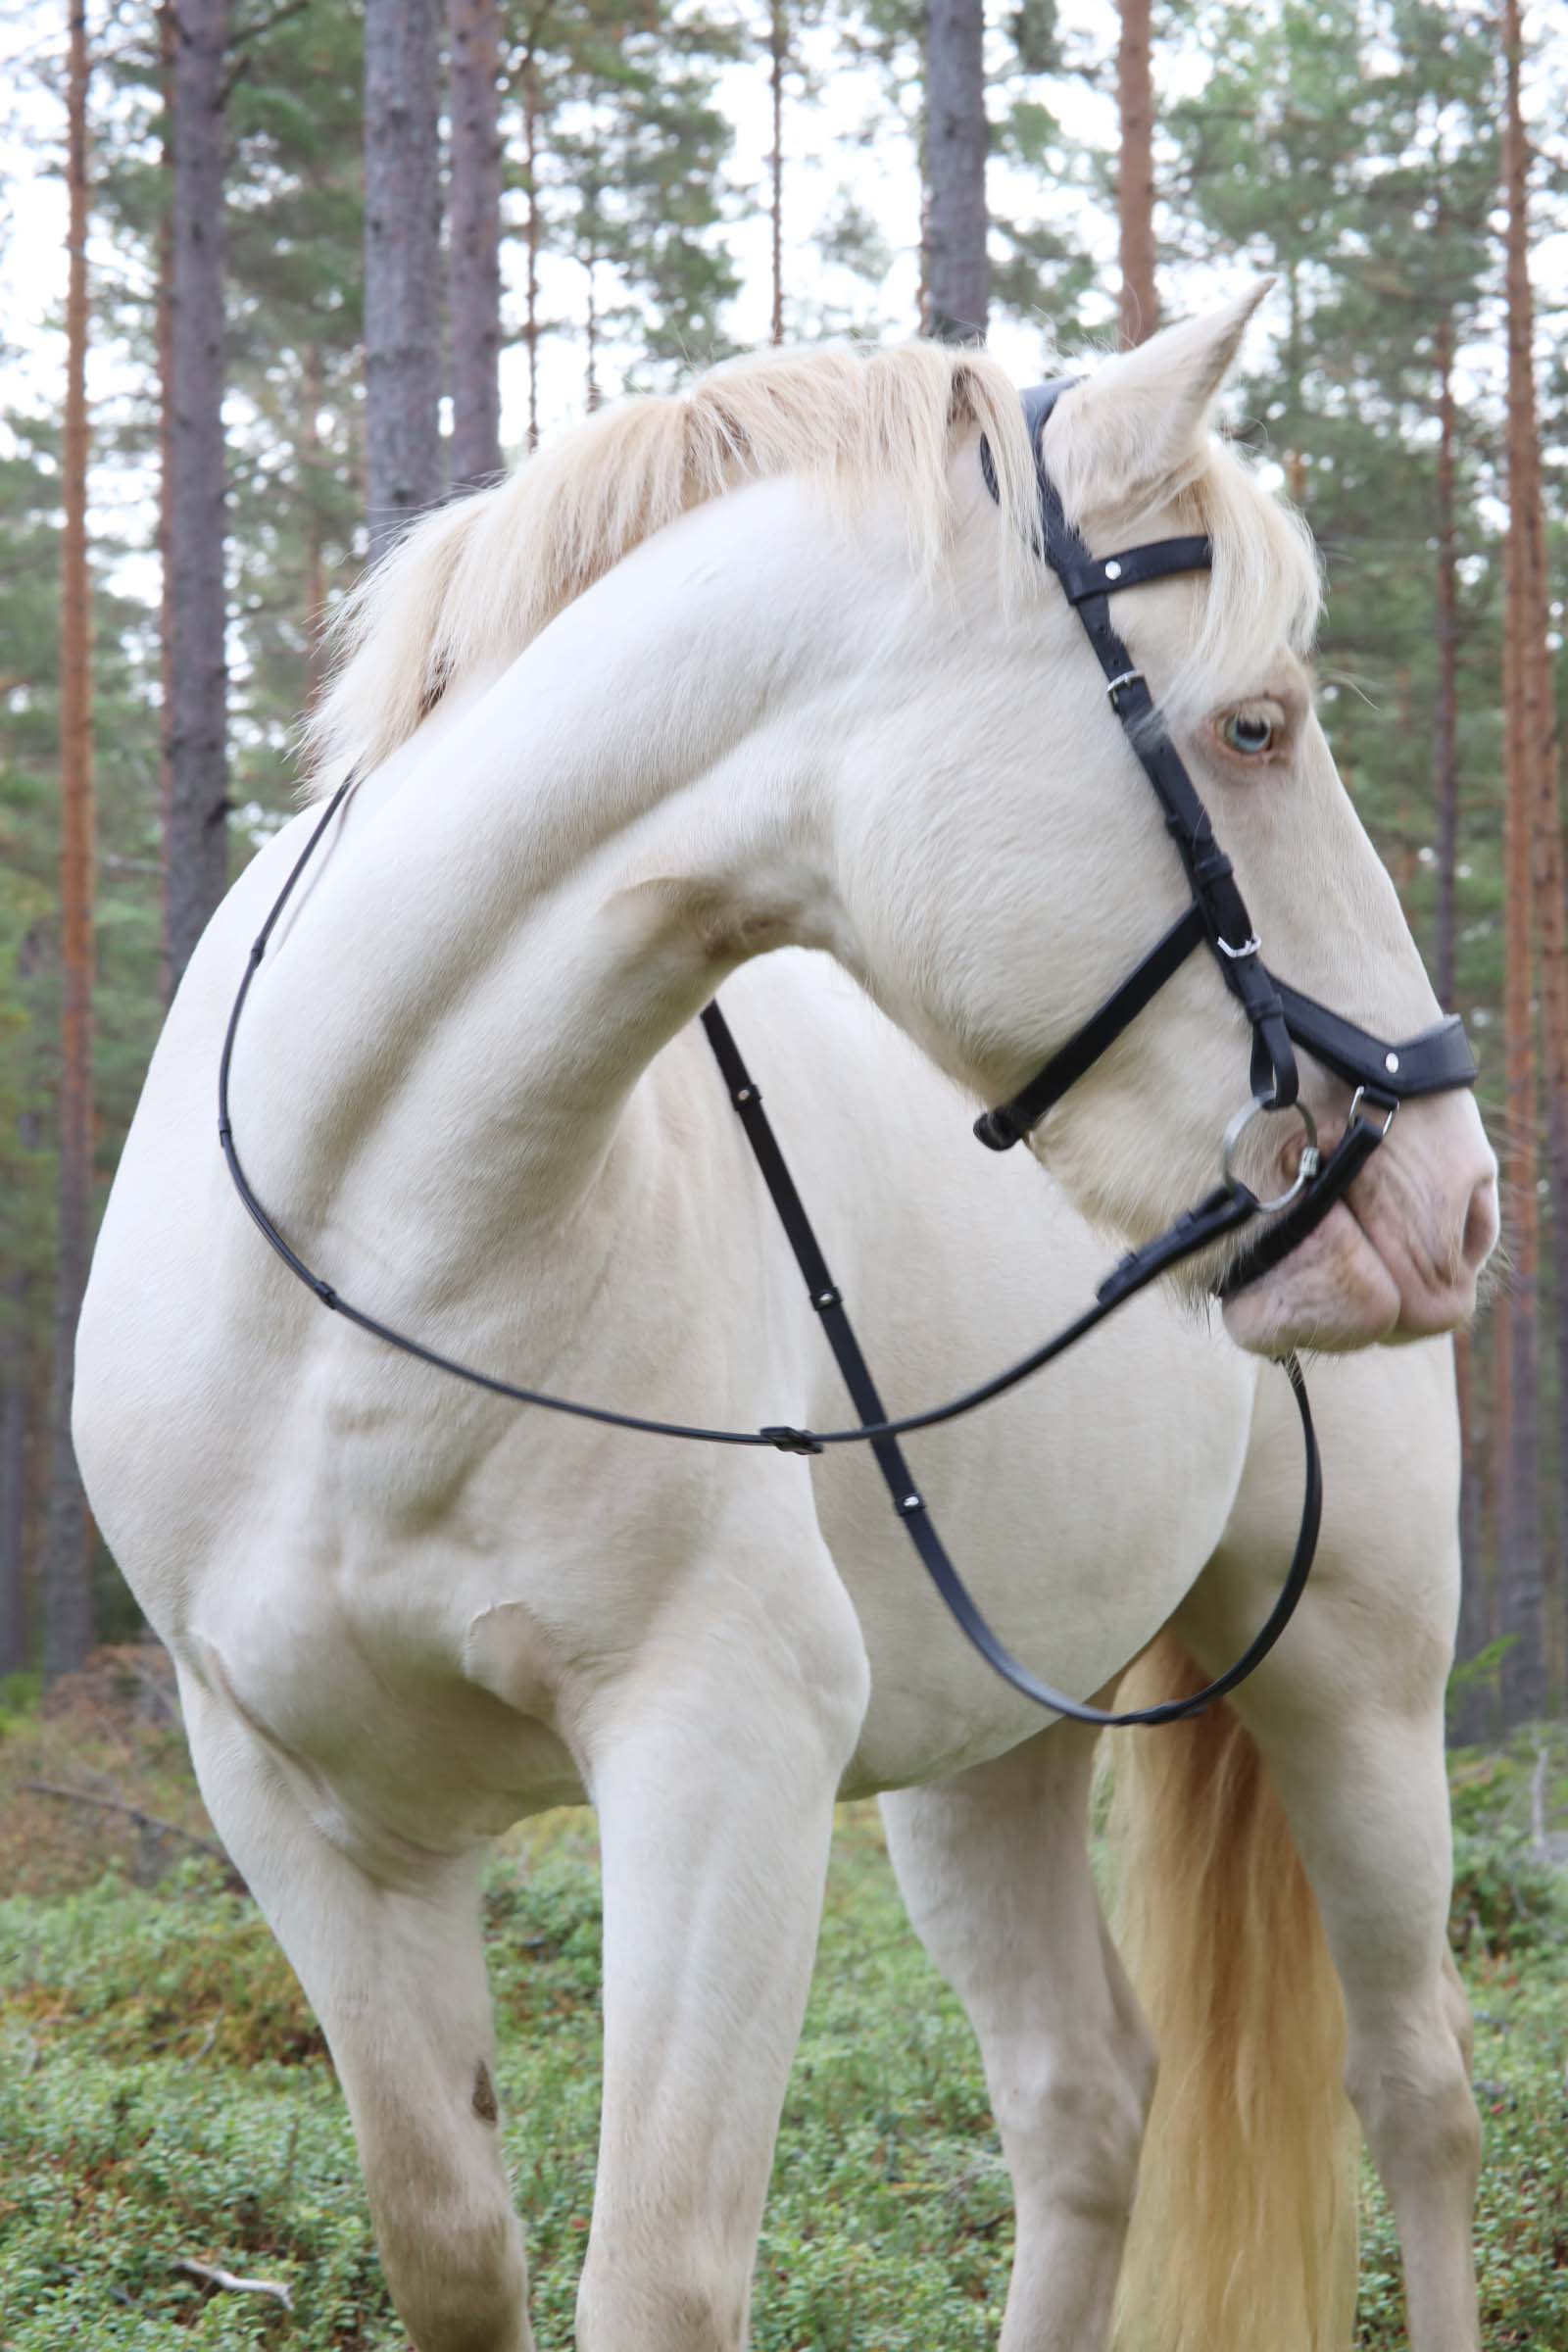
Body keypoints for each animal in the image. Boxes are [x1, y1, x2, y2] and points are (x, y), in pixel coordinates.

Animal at [75, 287, 1497, 2351]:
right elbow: (453, 2255)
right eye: (1254, 725)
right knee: (1084, 2102)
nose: (1450, 1197)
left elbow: (658, 2279)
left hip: (1356, 1681)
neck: (378, 1266)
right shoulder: (306, 1812)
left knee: (1415, 2089)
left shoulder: (720, 1761)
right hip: (994, 1741)